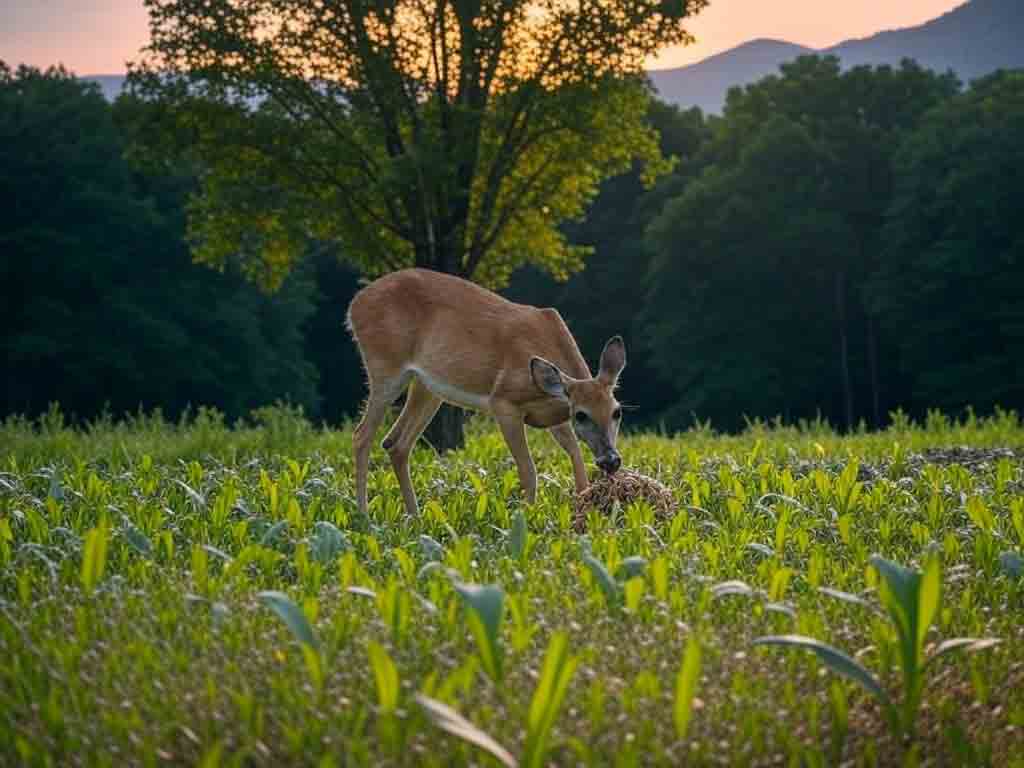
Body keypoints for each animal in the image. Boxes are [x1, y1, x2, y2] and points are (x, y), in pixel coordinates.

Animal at [348, 268, 626, 520]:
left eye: (617, 412)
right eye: (581, 415)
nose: (611, 460)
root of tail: (354, 305)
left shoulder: (554, 414)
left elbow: (576, 455)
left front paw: (585, 508)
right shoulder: (503, 402)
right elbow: (528, 470)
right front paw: (527, 517)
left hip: (427, 386)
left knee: (396, 444)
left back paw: (415, 516)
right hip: (385, 366)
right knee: (362, 435)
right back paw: (364, 516)